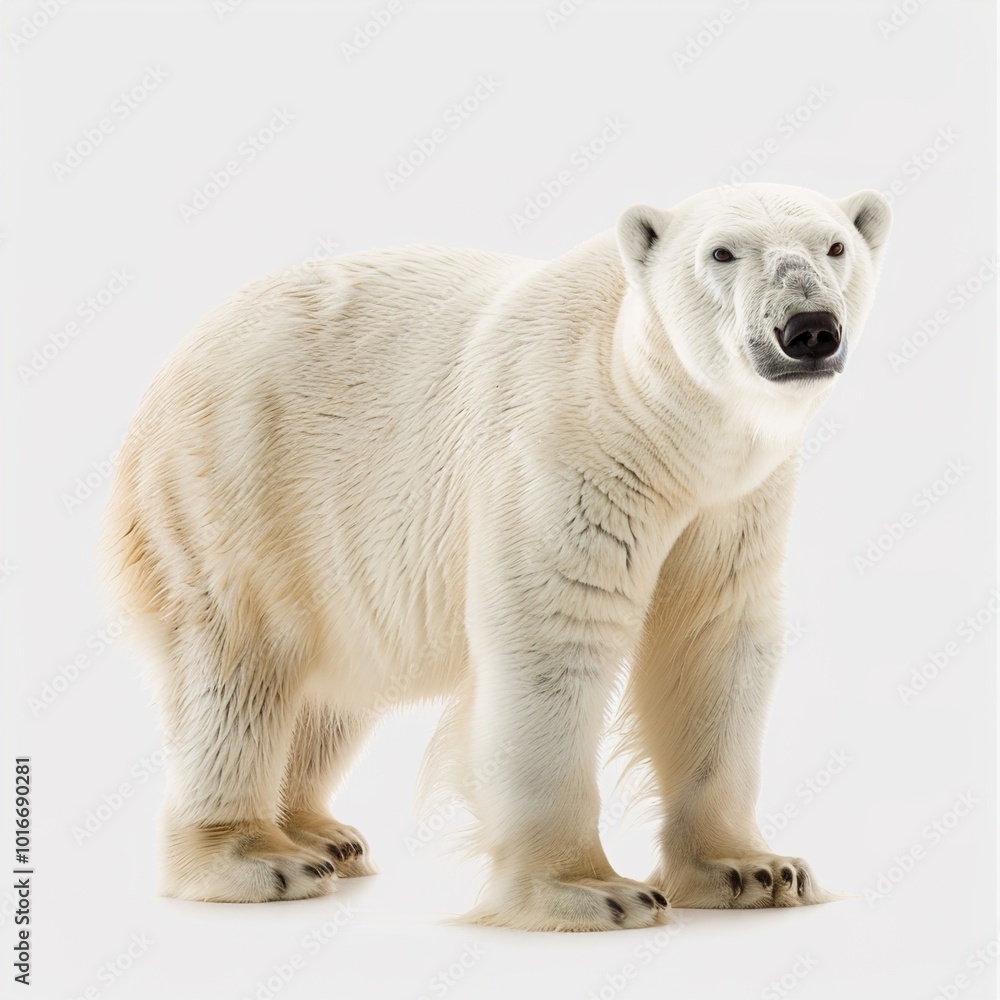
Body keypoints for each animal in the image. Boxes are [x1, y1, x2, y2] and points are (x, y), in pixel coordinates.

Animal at [101, 182, 890, 932]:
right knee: (239, 662)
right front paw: (590, 892)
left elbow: (712, 639)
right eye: (722, 252)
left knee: (335, 683)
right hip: (238, 484)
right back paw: (260, 858)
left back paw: (325, 837)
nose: (809, 329)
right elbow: (556, 631)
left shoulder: (732, 505)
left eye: (834, 245)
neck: (658, 421)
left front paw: (756, 871)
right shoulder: (565, 448)